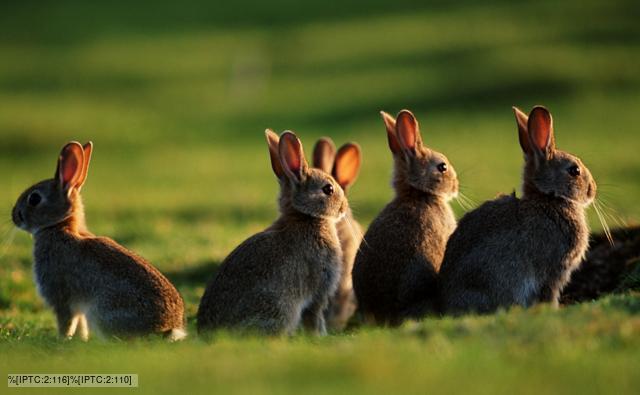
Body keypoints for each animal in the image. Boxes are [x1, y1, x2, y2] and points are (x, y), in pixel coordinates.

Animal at [10, 142, 185, 340]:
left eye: (34, 198)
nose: (14, 216)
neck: (59, 226)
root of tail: (164, 330)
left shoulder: (61, 297)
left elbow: (66, 322)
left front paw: (62, 340)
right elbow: (80, 324)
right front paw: (80, 340)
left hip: (102, 313)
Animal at [198, 131, 348, 338]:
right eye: (328, 189)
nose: (344, 207)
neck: (307, 217)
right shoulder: (318, 291)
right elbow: (315, 317)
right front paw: (321, 337)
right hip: (278, 308)